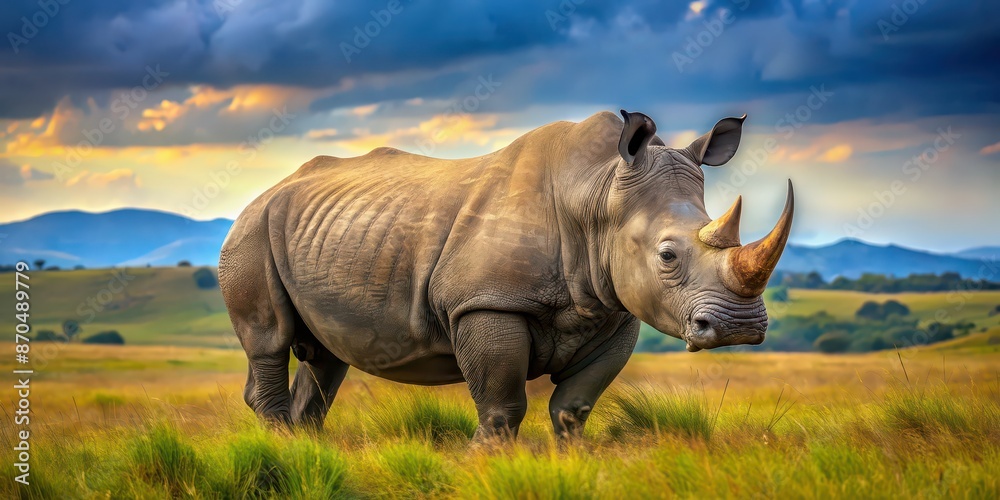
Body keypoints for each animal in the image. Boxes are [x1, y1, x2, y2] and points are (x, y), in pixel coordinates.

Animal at [219, 110, 794, 439]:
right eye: (668, 256)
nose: (741, 327)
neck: (596, 194)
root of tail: (266, 192)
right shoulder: (486, 301)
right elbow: (501, 405)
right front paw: (485, 464)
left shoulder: (615, 311)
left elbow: (573, 407)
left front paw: (571, 466)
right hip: (250, 232)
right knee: (270, 340)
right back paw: (283, 449)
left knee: (325, 356)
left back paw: (307, 448)